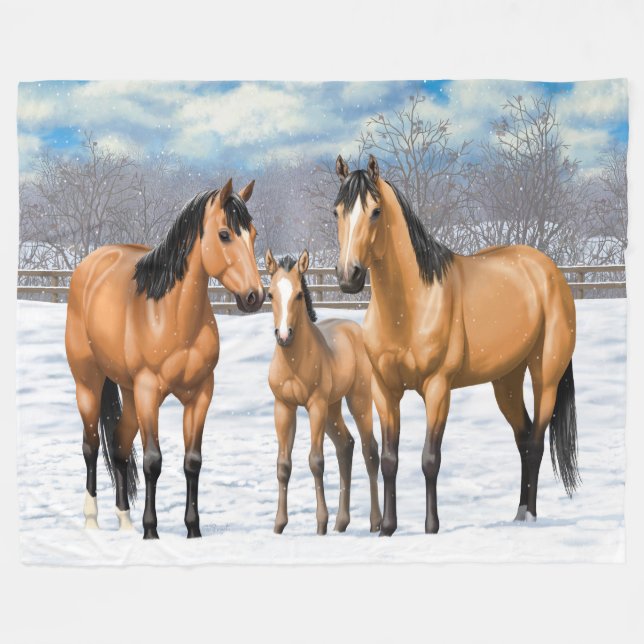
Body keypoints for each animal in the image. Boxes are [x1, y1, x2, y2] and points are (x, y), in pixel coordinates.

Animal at [65, 179, 264, 539]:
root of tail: (91, 264)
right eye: (224, 234)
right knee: (91, 447)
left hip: (128, 393)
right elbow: (152, 461)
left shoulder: (200, 394)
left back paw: (125, 521)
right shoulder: (148, 392)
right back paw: (92, 520)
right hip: (88, 383)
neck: (170, 315)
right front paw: (151, 531)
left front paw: (193, 530)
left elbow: (192, 461)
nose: (255, 296)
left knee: (118, 446)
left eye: (253, 234)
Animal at [265, 249, 382, 535]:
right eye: (270, 294)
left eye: (298, 294)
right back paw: (342, 522)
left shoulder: (315, 405)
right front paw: (279, 525)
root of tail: (355, 330)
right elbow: (283, 465)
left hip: (357, 400)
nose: (284, 335)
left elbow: (316, 461)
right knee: (345, 446)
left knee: (369, 450)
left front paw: (321, 524)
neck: (294, 362)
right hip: (332, 408)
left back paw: (375, 522)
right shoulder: (283, 406)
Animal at [332, 154, 579, 536]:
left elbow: (430, 459)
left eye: (375, 211)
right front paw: (387, 528)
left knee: (536, 442)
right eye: (336, 212)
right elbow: (389, 459)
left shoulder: (437, 389)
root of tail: (549, 271)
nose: (349, 276)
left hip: (546, 378)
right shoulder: (384, 390)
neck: (411, 305)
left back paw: (530, 517)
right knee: (523, 438)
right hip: (506, 381)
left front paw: (431, 527)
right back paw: (519, 513)